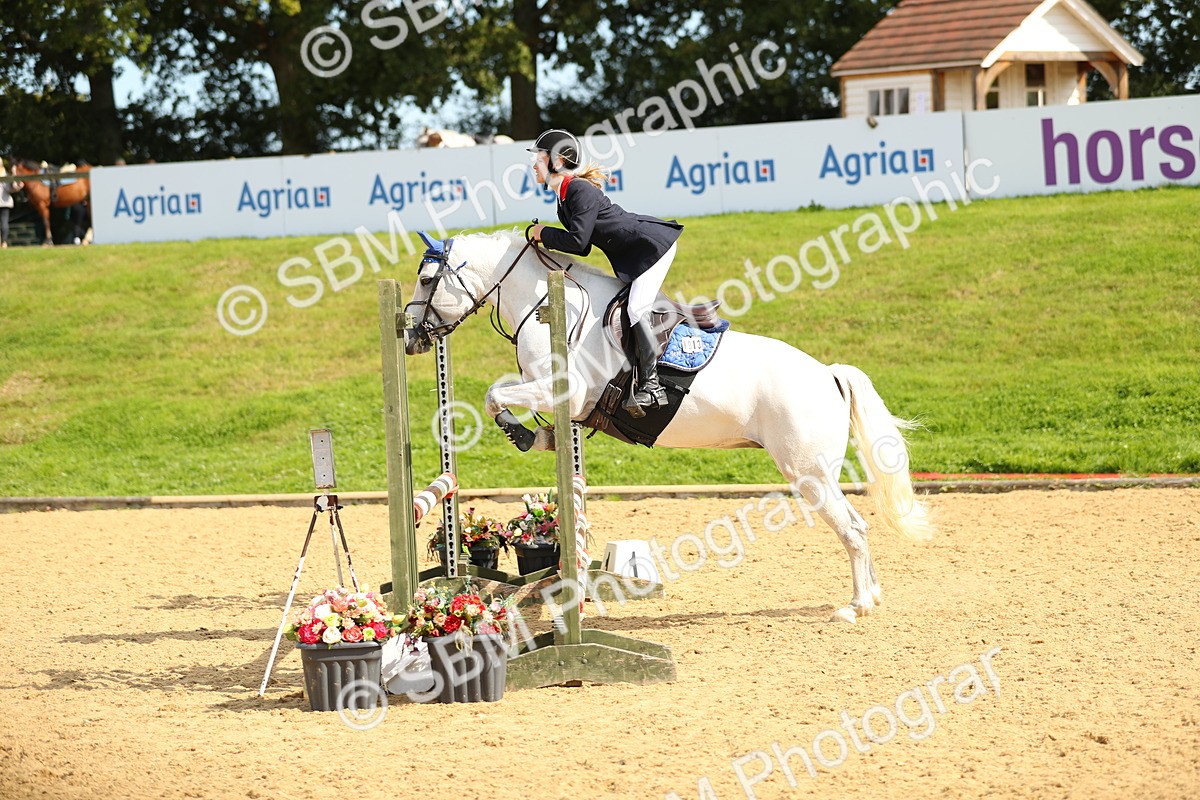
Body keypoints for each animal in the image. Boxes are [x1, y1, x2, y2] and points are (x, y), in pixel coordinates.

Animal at [402, 229, 934, 623]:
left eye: (427, 280)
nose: (410, 338)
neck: (547, 304)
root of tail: (828, 374)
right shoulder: (546, 386)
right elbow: (500, 390)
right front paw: (540, 435)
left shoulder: (566, 390)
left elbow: (495, 396)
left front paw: (527, 434)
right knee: (857, 526)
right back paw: (872, 596)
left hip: (809, 472)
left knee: (854, 528)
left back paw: (857, 606)